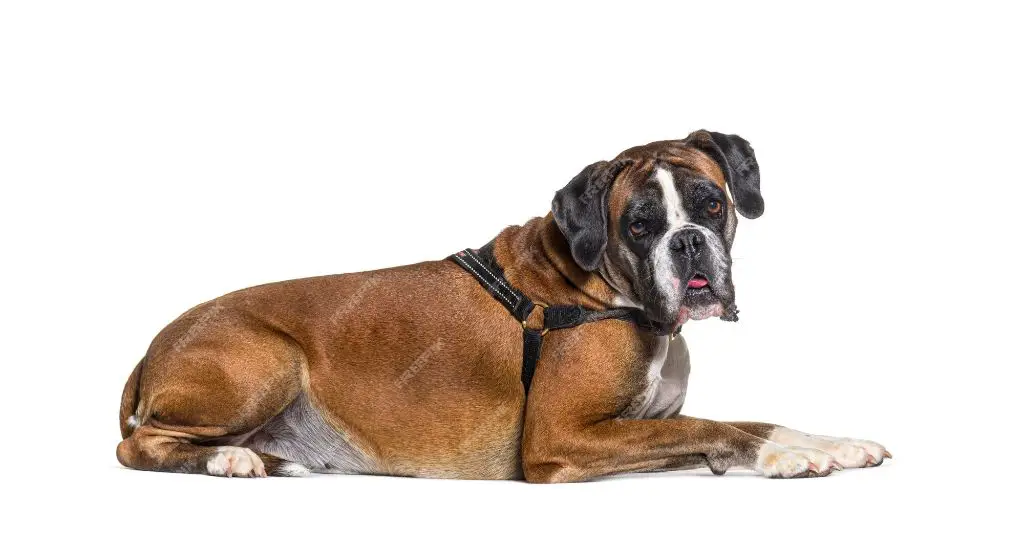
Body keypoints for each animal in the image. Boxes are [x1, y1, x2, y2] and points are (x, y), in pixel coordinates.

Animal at [117, 130, 888, 483]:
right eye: (640, 225)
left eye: (712, 204)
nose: (688, 243)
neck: (603, 291)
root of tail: (152, 346)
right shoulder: (559, 438)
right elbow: (721, 426)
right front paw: (785, 459)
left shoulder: (642, 431)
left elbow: (738, 422)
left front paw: (830, 443)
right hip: (269, 358)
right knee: (136, 444)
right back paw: (233, 460)